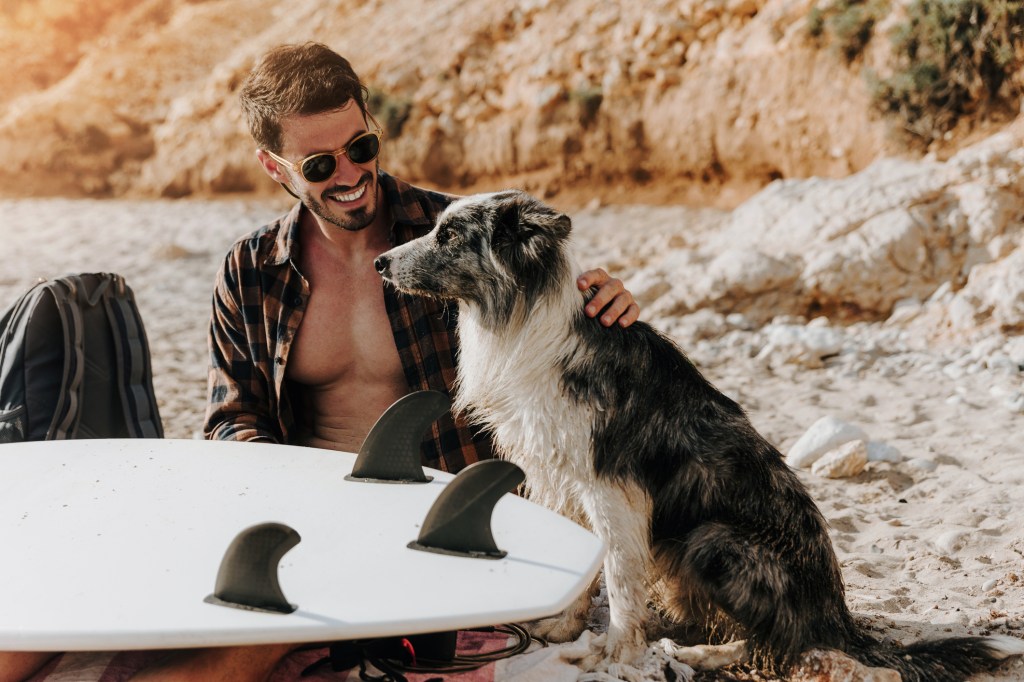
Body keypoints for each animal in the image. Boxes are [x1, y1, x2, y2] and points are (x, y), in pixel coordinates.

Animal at [376, 188, 1024, 675]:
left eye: (449, 235)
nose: (380, 262)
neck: (525, 320)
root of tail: (840, 619)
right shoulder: (558, 475)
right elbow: (583, 565)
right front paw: (562, 628)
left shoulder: (611, 487)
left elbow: (616, 574)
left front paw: (616, 651)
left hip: (714, 541)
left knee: (776, 646)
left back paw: (700, 653)